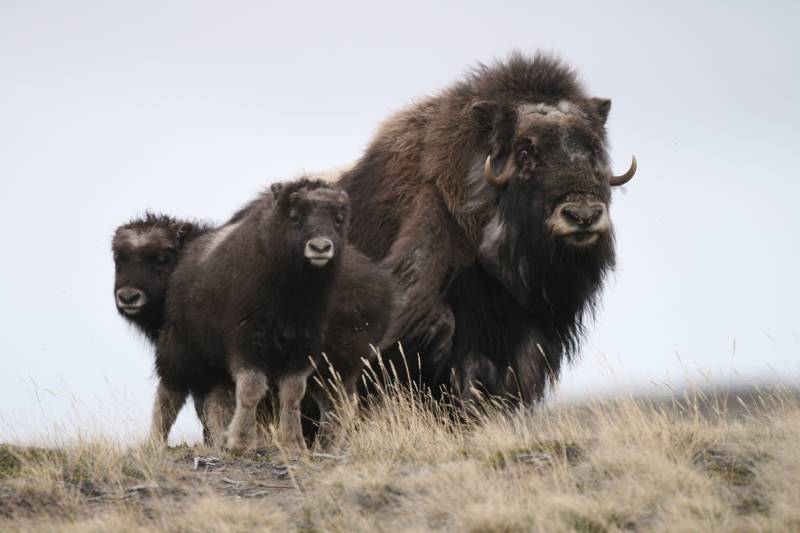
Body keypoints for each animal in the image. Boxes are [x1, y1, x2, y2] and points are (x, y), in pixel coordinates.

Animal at [155, 179, 348, 448]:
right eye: (295, 217)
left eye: (338, 219)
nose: (320, 247)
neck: (294, 288)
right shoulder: (247, 339)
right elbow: (252, 388)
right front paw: (241, 442)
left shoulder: (303, 345)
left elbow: (293, 393)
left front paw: (293, 443)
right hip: (182, 349)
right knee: (169, 393)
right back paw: (154, 442)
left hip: (217, 367)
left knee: (217, 398)